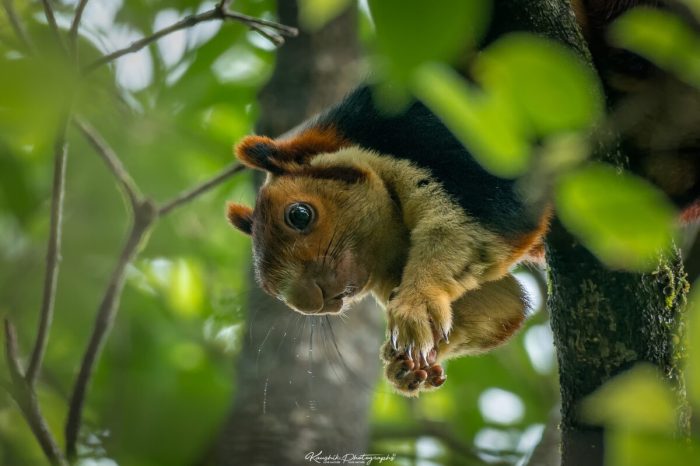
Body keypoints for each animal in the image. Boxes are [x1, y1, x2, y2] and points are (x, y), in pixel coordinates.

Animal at [227, 0, 700, 396]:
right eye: (270, 291)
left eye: (299, 215)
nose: (310, 303)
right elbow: (502, 306)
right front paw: (403, 365)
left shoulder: (433, 126)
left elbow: (484, 217)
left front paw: (418, 304)